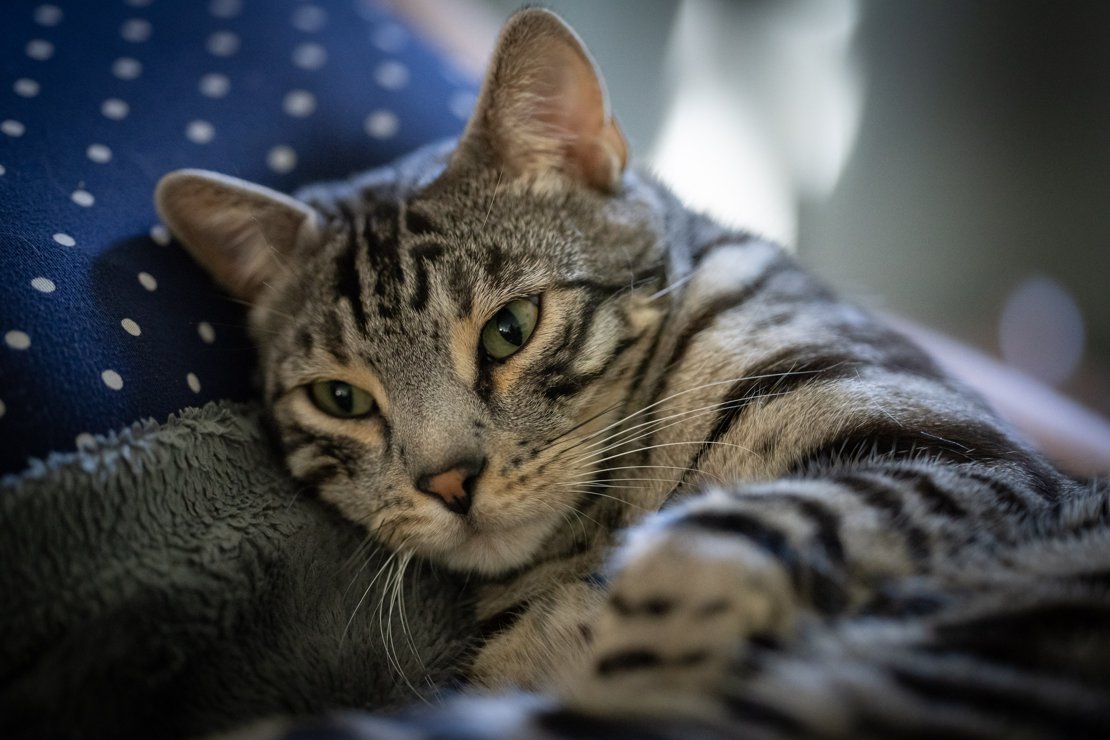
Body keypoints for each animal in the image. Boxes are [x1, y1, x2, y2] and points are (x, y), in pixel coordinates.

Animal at [158, 7, 1110, 740]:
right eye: (342, 398)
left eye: (509, 331)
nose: (448, 483)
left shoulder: (962, 457)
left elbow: (715, 541)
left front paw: (640, 658)